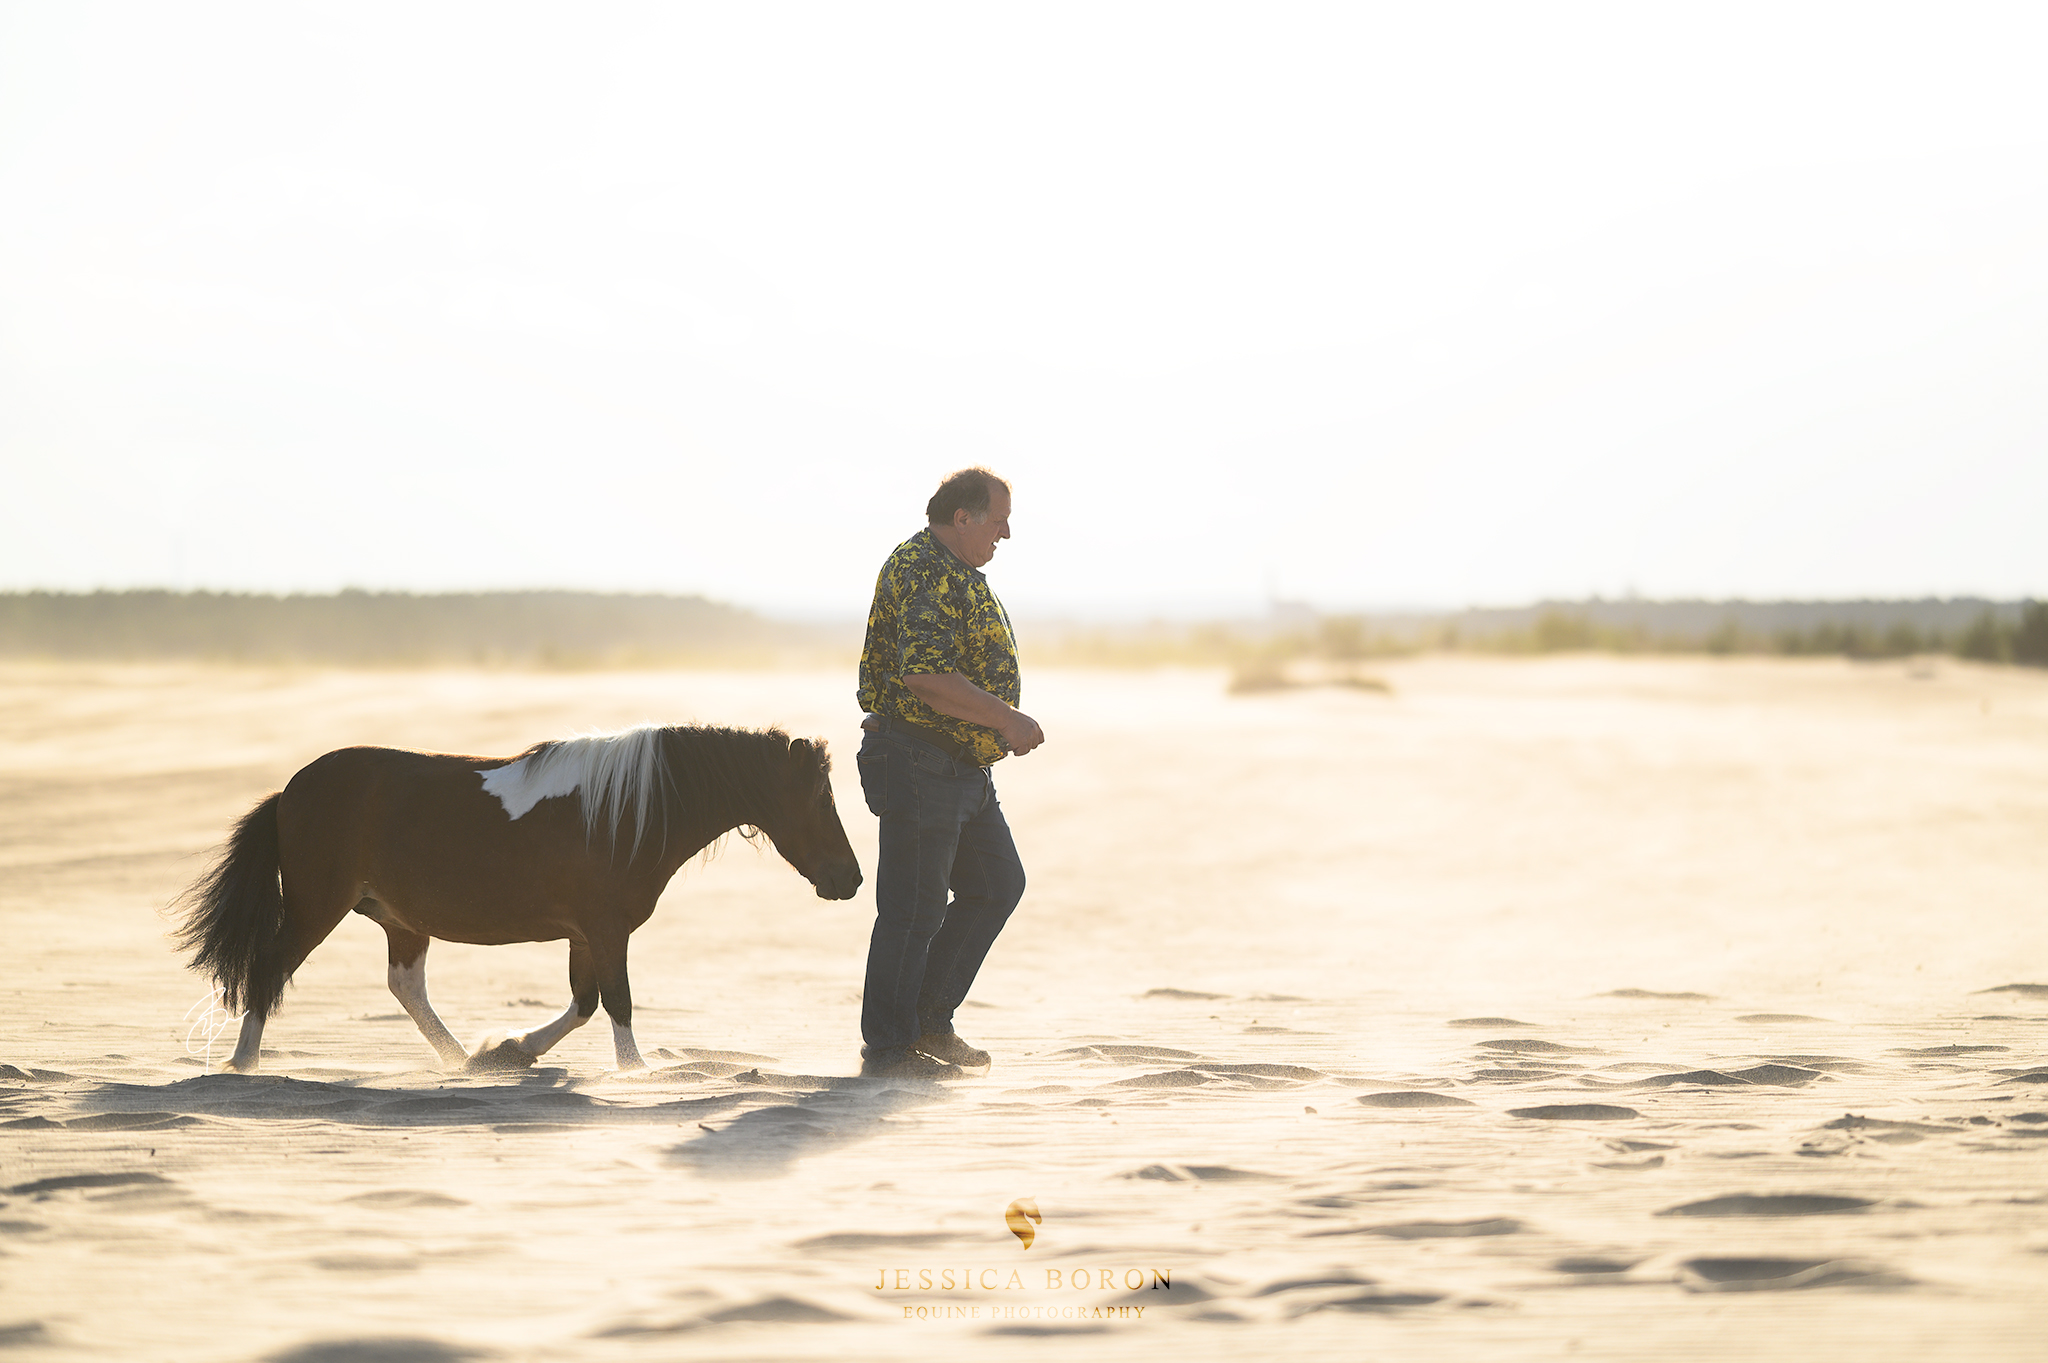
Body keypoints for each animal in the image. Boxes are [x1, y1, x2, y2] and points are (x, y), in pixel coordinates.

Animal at [174, 723, 861, 1074]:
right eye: (818, 799)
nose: (850, 879)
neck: (625, 811)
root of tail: (290, 792)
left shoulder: (586, 934)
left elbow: (584, 1004)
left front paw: (511, 1050)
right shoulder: (607, 930)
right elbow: (618, 1006)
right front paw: (635, 1077)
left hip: (402, 918)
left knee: (406, 987)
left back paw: (461, 1059)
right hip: (319, 907)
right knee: (269, 968)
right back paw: (242, 1063)